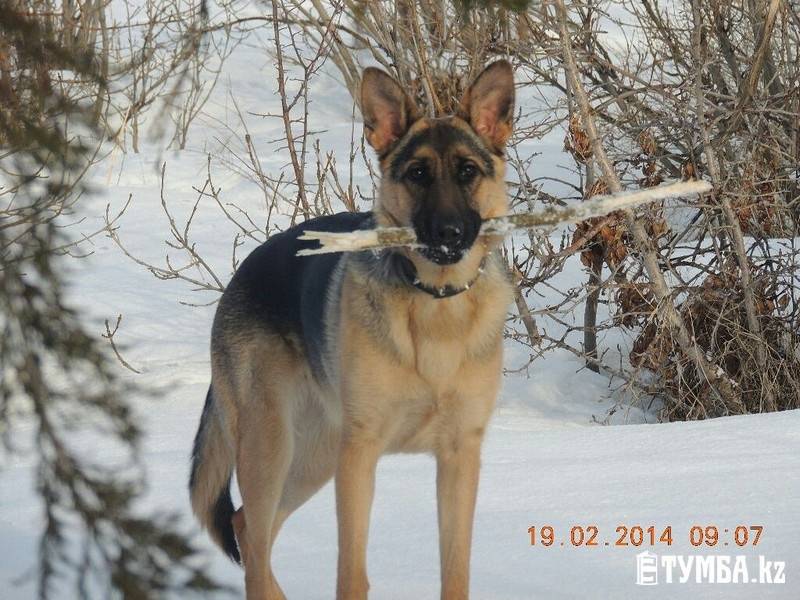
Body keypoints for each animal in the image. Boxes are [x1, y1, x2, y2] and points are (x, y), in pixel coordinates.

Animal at [189, 58, 512, 596]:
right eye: (418, 173)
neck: (435, 303)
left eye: (467, 171)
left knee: (248, 528)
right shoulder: (360, 455)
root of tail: (244, 270)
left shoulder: (459, 457)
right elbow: (352, 574)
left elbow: (455, 571)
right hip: (271, 444)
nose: (448, 234)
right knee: (251, 534)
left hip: (315, 456)